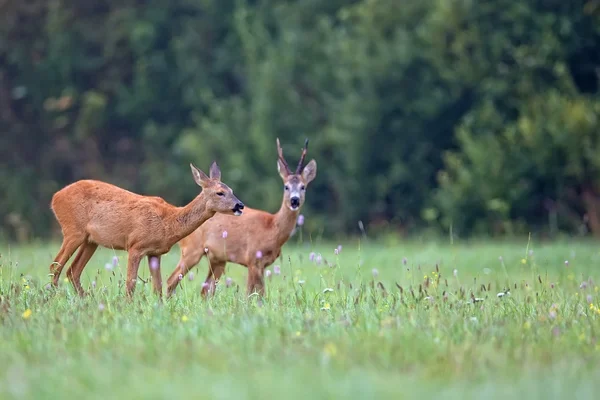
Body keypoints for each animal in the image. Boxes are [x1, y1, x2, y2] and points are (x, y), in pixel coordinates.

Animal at [47, 161, 244, 298]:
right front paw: (127, 306)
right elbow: (131, 283)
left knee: (72, 270)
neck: (169, 222)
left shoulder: (154, 253)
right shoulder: (135, 246)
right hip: (73, 231)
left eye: (232, 189)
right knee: (55, 265)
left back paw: (86, 300)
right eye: (220, 192)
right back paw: (54, 298)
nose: (239, 205)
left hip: (90, 240)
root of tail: (55, 197)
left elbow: (158, 287)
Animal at [164, 138, 314, 296]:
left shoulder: (261, 264)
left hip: (217, 259)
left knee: (205, 289)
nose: (294, 200)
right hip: (191, 249)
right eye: (286, 186)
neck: (272, 227)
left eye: (303, 187)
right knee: (171, 280)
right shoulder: (253, 259)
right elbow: (253, 293)